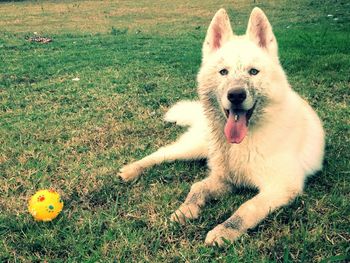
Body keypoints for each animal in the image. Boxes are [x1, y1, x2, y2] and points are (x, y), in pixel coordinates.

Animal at [119, 7, 324, 246]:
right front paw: (184, 210)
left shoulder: (279, 186)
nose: (236, 95)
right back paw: (133, 169)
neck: (242, 144)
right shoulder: (224, 178)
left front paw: (224, 231)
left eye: (253, 72)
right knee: (161, 154)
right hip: (193, 147)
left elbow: (247, 207)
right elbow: (197, 188)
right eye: (223, 72)